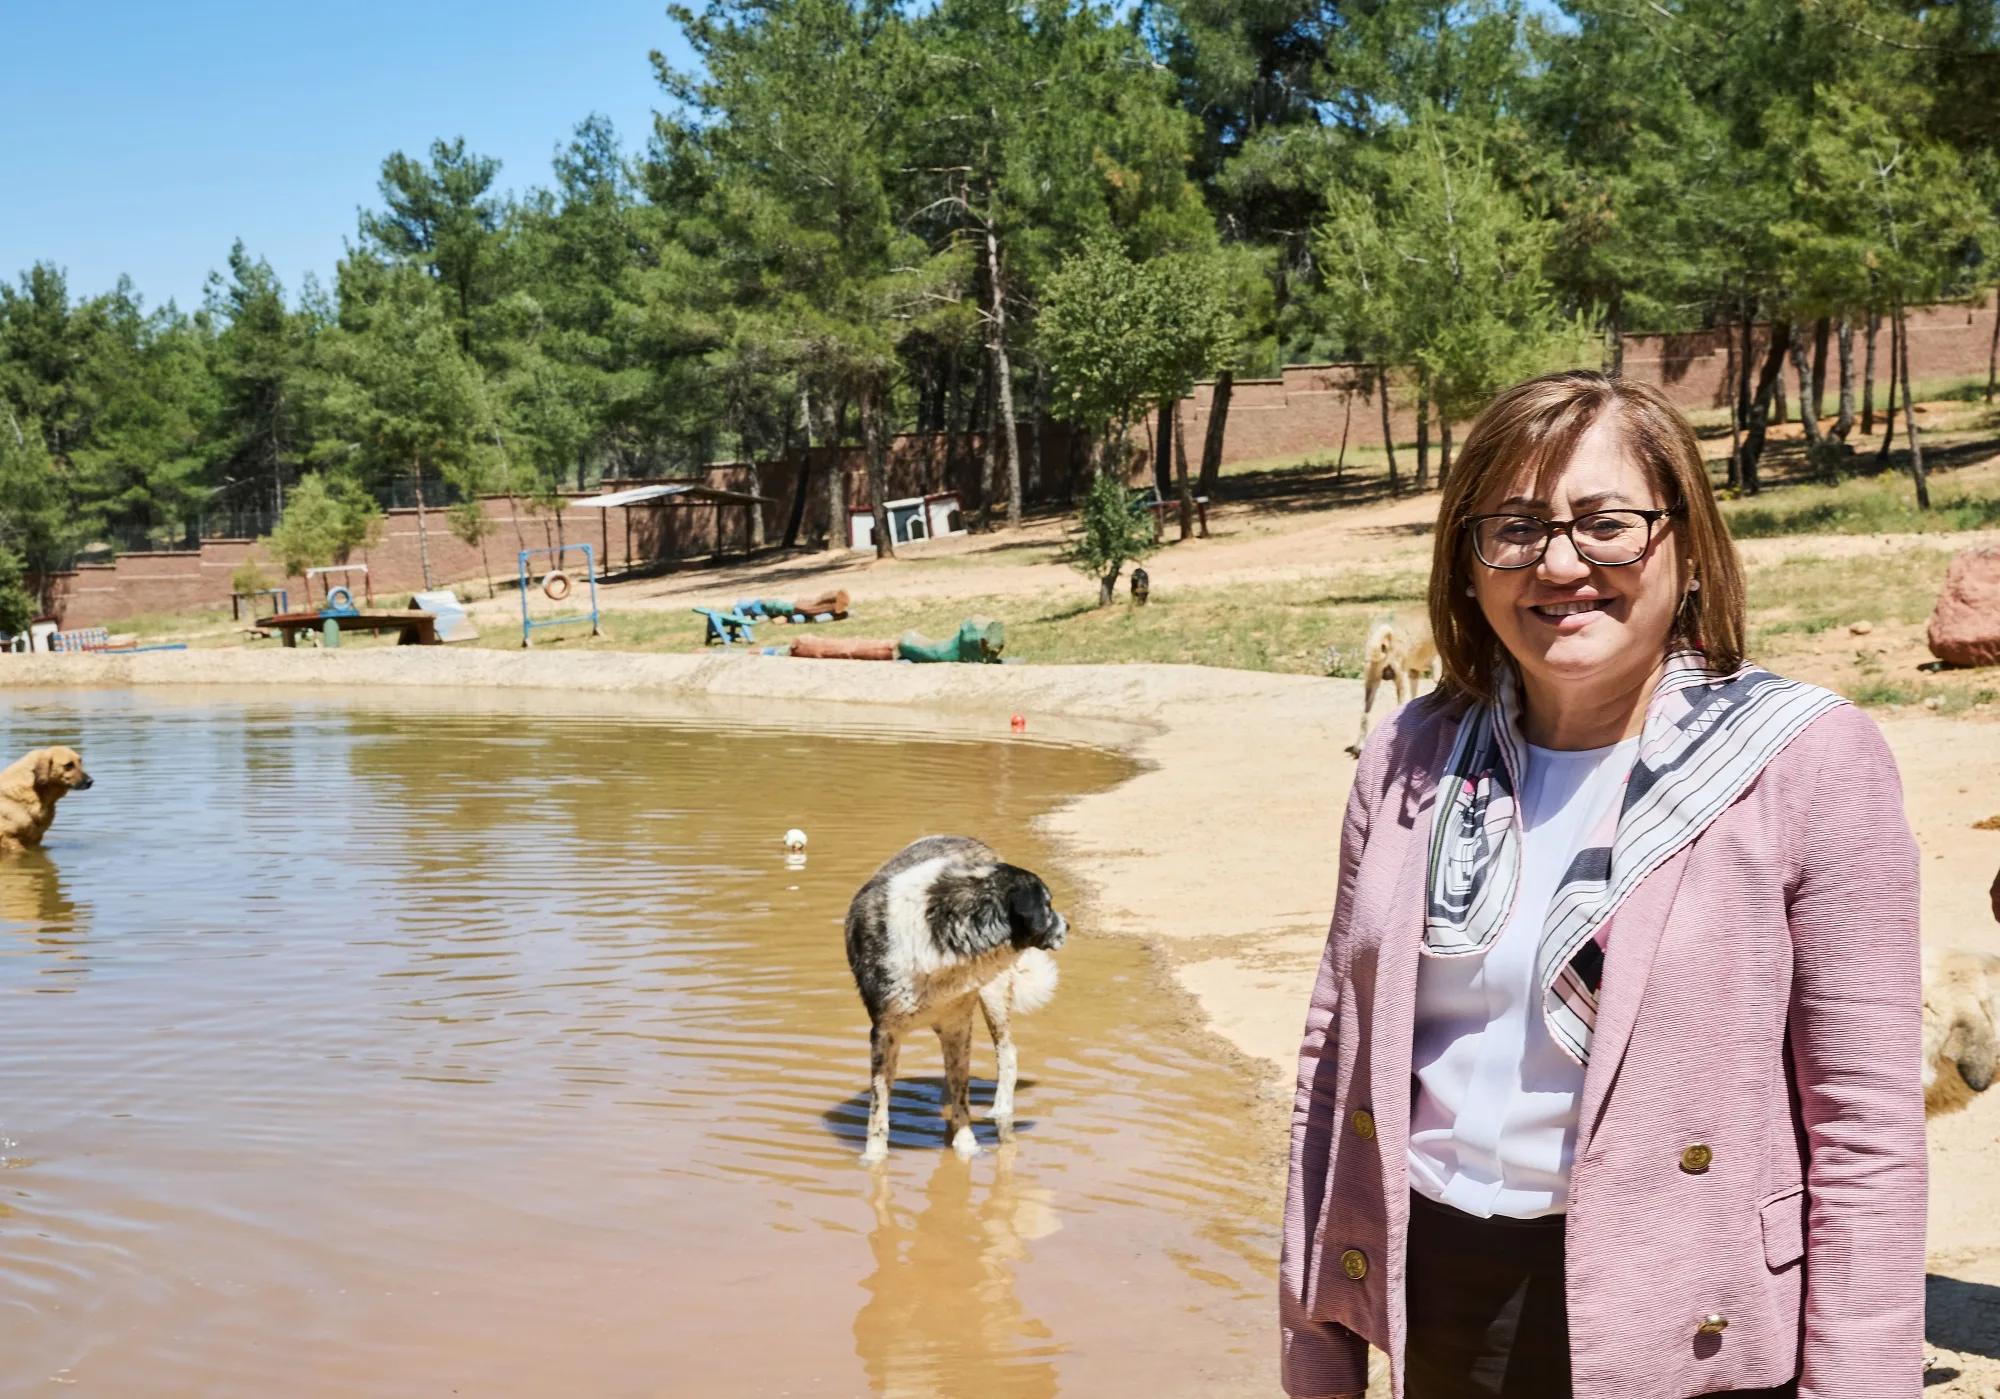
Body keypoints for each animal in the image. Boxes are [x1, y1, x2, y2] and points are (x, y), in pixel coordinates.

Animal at [840, 835, 1072, 1167]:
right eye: (1047, 905)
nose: (1068, 927)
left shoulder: (958, 1025)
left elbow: (963, 1095)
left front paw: (967, 1147)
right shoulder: (885, 1033)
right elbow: (878, 1107)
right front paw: (874, 1159)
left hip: (993, 993)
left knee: (1007, 1052)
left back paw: (1000, 1110)